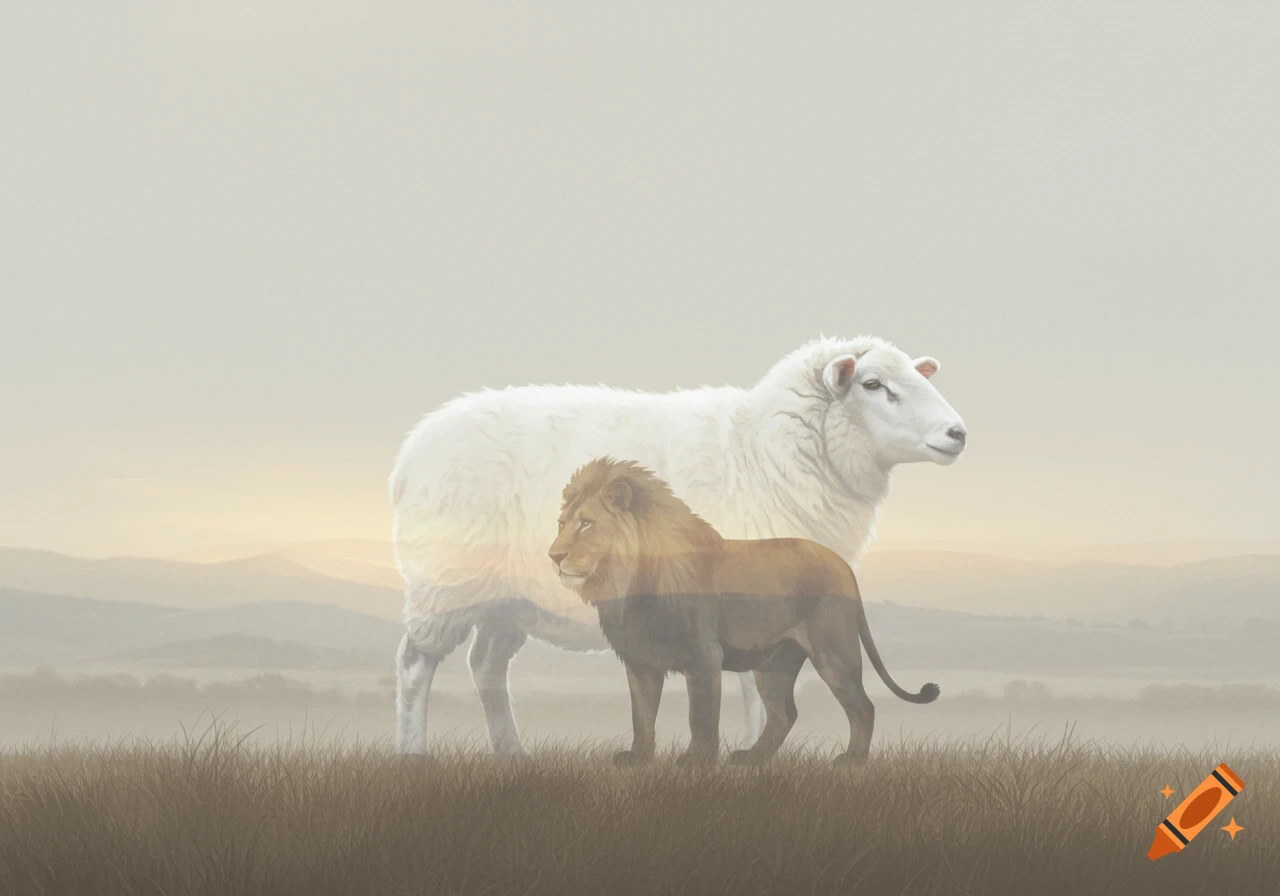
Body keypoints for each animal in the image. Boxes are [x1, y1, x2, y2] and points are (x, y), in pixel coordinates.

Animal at [547, 456, 940, 766]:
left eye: (586, 523)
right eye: (561, 524)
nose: (553, 556)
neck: (626, 583)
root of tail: (843, 565)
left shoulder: (703, 657)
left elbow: (701, 716)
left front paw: (696, 761)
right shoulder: (641, 661)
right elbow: (641, 716)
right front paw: (638, 759)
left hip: (834, 652)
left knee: (862, 706)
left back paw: (852, 761)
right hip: (773, 663)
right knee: (784, 714)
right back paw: (752, 758)